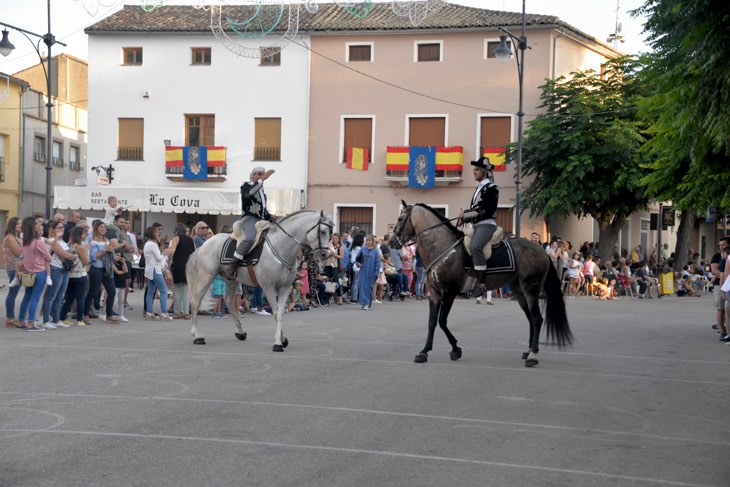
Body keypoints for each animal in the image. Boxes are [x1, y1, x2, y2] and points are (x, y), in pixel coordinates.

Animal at [185, 209, 332, 350]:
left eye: (330, 232)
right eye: (323, 231)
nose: (325, 254)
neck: (280, 247)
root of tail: (205, 245)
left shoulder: (284, 288)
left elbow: (280, 314)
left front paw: (282, 339)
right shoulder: (268, 288)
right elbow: (276, 313)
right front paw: (278, 343)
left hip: (232, 280)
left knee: (229, 301)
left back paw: (240, 332)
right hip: (207, 277)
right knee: (195, 302)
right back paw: (197, 336)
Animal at [392, 201, 568, 366]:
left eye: (400, 219)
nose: (392, 242)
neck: (443, 248)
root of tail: (542, 251)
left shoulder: (449, 292)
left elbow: (442, 321)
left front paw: (456, 349)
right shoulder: (434, 294)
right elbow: (432, 322)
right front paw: (424, 352)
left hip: (530, 288)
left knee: (537, 318)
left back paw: (533, 355)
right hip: (519, 290)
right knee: (531, 318)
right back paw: (529, 350)